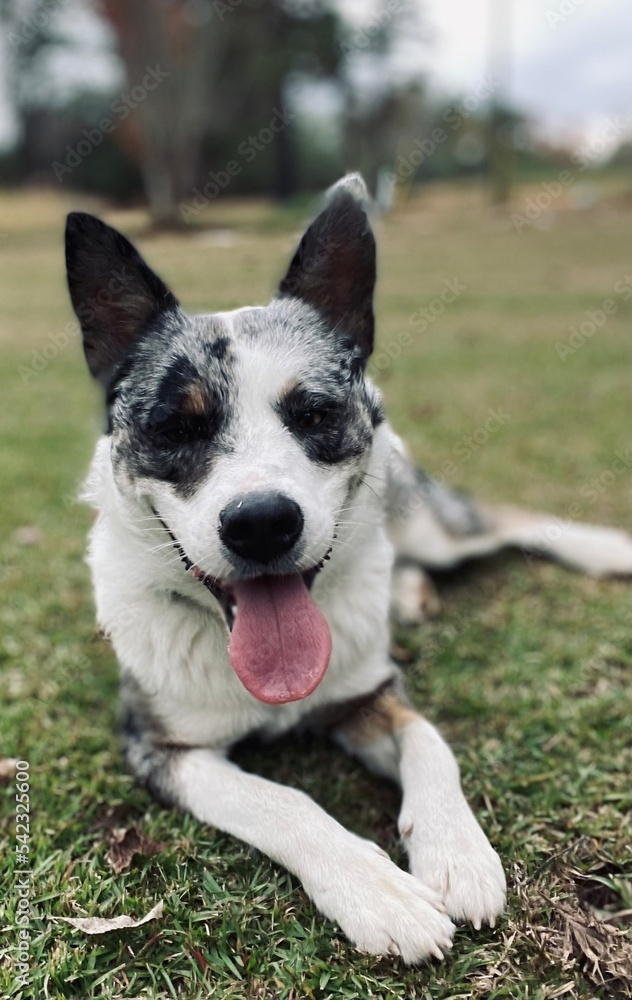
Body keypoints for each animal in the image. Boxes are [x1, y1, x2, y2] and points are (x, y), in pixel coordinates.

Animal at [65, 176, 632, 964]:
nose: (262, 523)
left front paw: (456, 853)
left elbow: (430, 741)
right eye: (177, 428)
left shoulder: (370, 690)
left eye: (314, 414)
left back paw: (605, 551)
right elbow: (280, 800)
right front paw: (378, 890)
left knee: (505, 521)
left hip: (428, 517)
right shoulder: (161, 748)